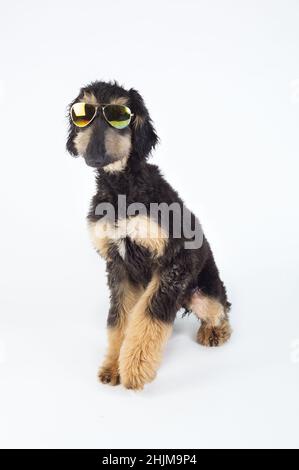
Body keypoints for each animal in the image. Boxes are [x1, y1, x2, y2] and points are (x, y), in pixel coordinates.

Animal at [67, 81, 233, 390]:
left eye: (119, 115)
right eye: (84, 112)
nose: (94, 152)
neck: (121, 188)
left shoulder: (174, 260)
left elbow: (150, 316)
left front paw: (134, 369)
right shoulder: (118, 265)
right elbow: (119, 319)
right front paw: (113, 365)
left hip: (201, 293)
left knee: (221, 309)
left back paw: (215, 332)